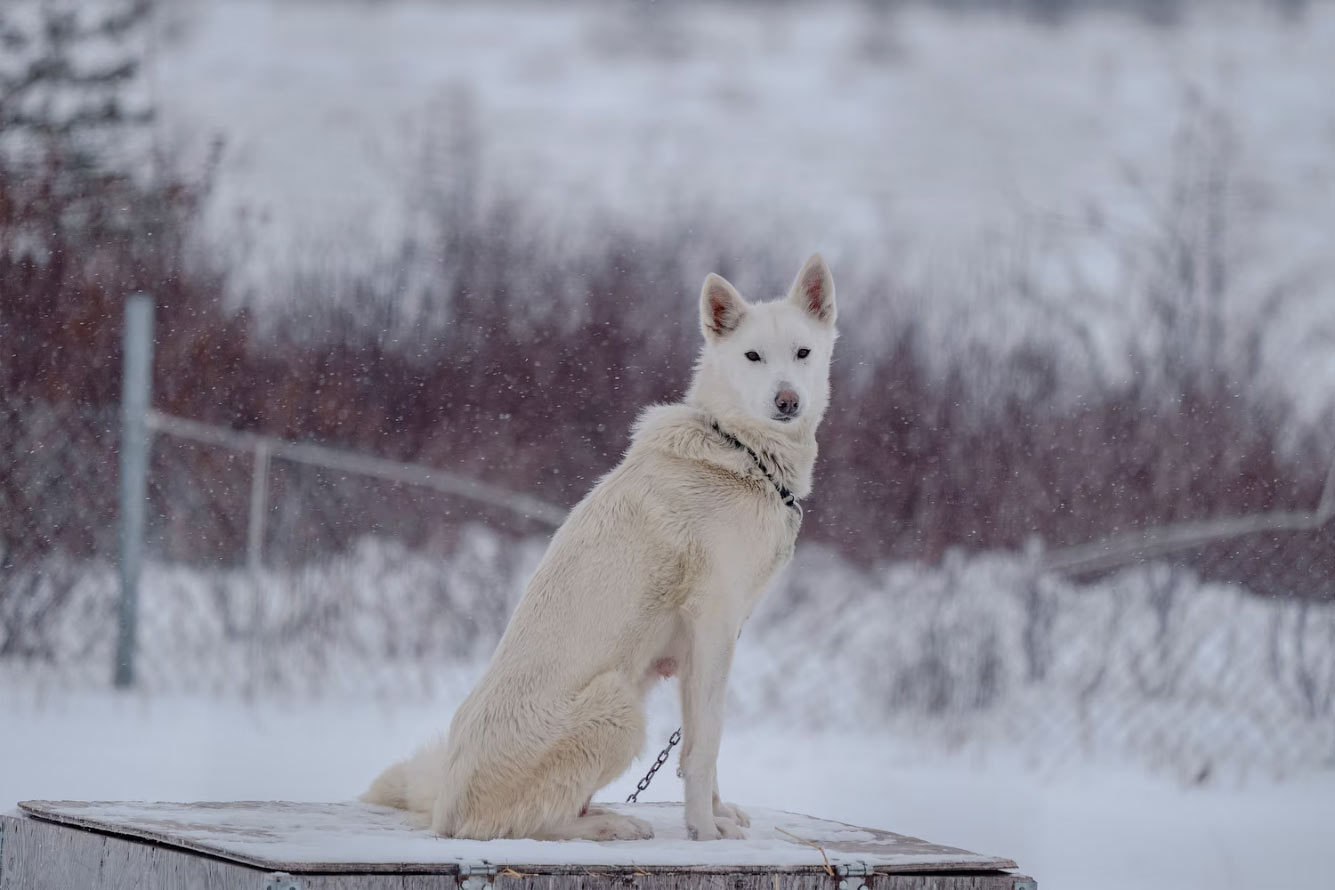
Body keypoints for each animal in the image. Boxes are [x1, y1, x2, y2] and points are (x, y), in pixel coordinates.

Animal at [363, 252, 833, 843]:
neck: (744, 453)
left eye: (802, 353)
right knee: (535, 824)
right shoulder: (714, 627)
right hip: (619, 707)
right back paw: (612, 826)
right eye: (753, 357)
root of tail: (445, 807)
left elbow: (696, 745)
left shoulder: (700, 651)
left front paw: (717, 815)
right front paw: (704, 832)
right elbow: (706, 748)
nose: (786, 401)